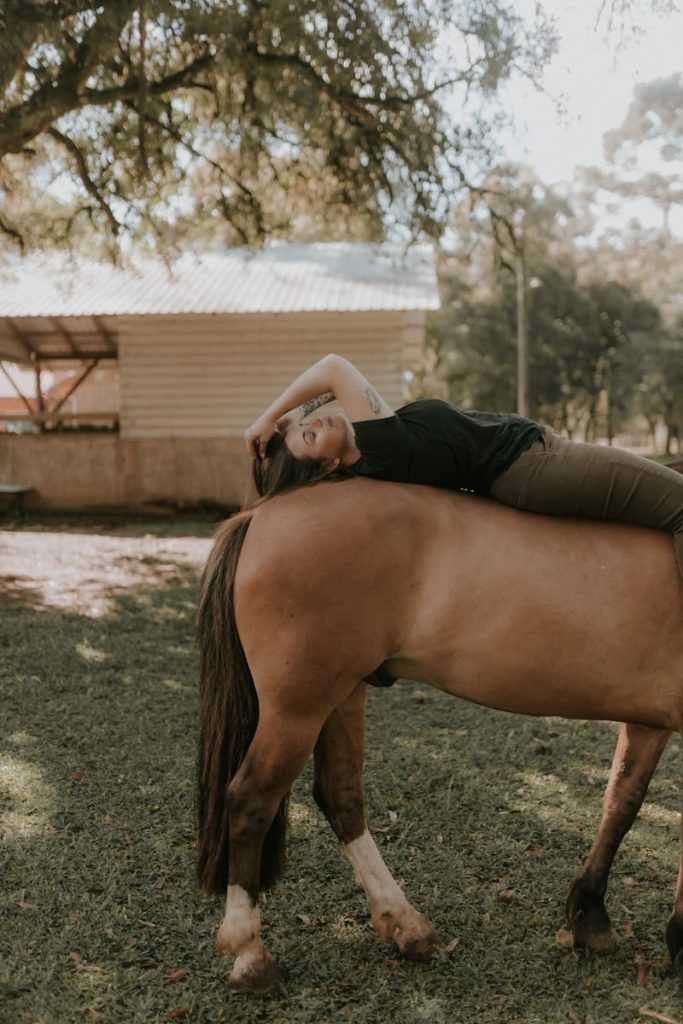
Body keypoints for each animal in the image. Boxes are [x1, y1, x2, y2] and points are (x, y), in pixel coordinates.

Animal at [196, 476, 683, 996]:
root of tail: (263, 513)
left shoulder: (650, 721)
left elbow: (622, 805)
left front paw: (590, 914)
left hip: (340, 694)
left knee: (340, 795)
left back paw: (403, 922)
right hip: (298, 708)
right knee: (252, 799)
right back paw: (250, 952)